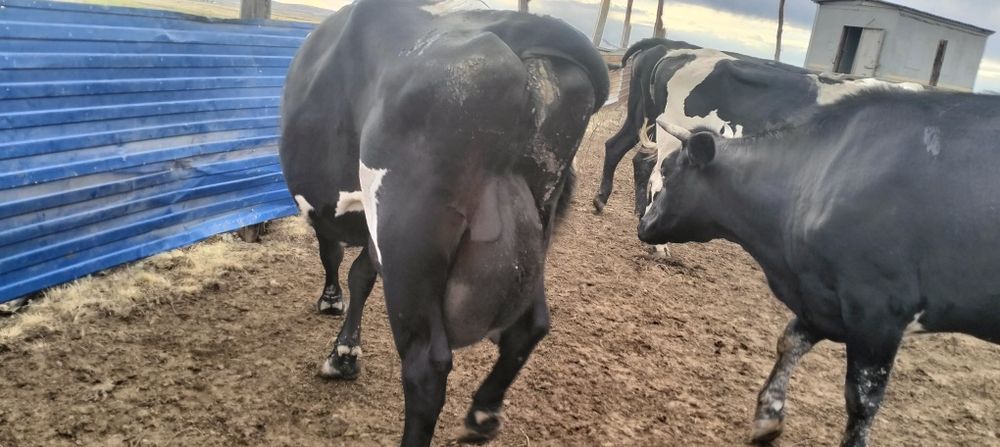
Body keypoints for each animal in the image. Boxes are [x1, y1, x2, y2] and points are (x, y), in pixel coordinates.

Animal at [279, 1, 609, 446]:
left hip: (408, 241)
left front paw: (333, 315)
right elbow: (361, 273)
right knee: (531, 326)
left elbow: (334, 257)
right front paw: (345, 351)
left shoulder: (336, 211)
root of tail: (514, 24)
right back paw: (482, 414)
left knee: (426, 367)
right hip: (538, 222)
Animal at [638, 89, 1000, 447]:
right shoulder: (821, 298)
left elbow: (862, 398)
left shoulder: (877, 310)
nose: (643, 225)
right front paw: (768, 418)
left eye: (668, 172)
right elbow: (789, 341)